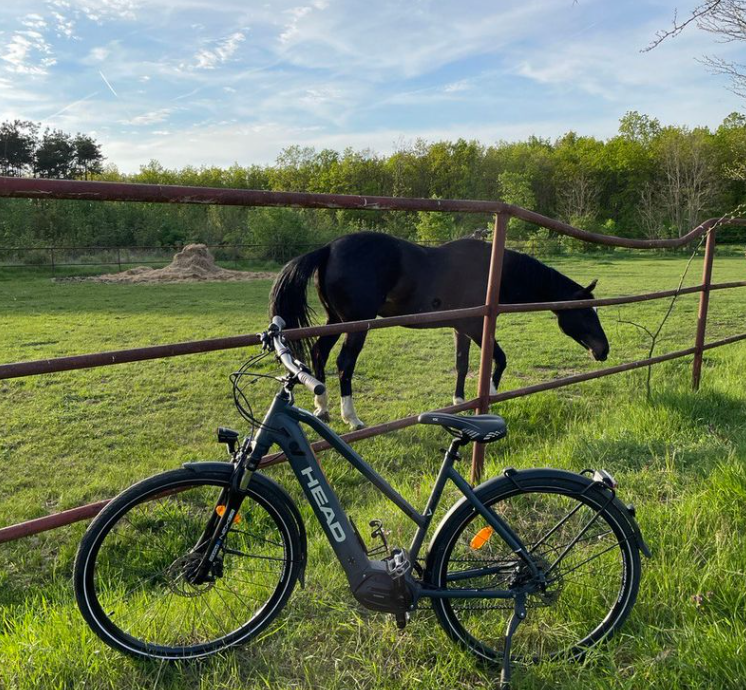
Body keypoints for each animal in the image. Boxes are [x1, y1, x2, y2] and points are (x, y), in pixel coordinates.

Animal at [270, 231, 608, 424]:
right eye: (585, 313)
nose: (603, 350)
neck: (493, 273)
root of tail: (328, 249)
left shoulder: (461, 328)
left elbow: (462, 364)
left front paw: (459, 401)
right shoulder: (476, 326)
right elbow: (499, 358)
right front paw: (491, 392)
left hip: (336, 320)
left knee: (319, 352)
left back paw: (322, 408)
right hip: (356, 325)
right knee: (344, 363)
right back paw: (351, 418)